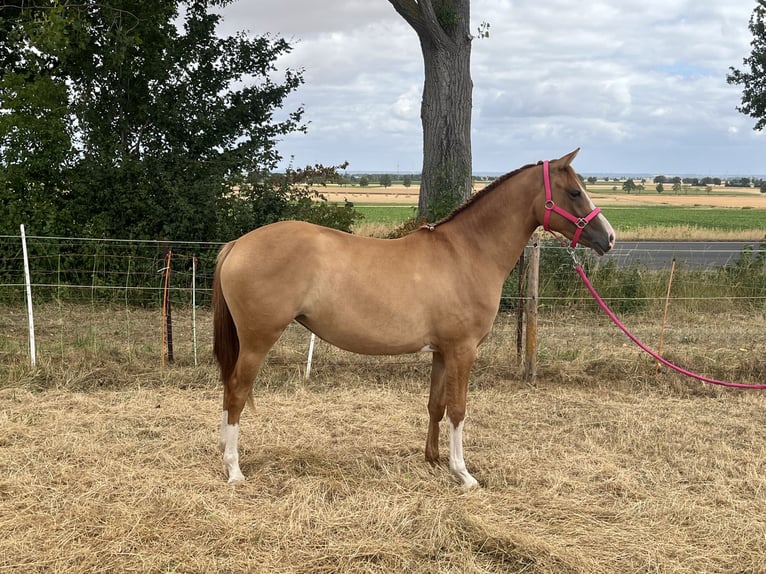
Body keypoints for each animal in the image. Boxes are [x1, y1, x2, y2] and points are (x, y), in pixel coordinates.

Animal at [212, 149, 615, 488]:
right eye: (575, 192)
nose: (609, 238)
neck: (466, 252)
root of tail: (238, 244)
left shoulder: (442, 352)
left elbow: (436, 405)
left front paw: (433, 460)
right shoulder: (463, 351)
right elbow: (458, 409)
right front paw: (463, 474)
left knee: (229, 392)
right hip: (258, 340)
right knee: (236, 392)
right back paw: (233, 469)